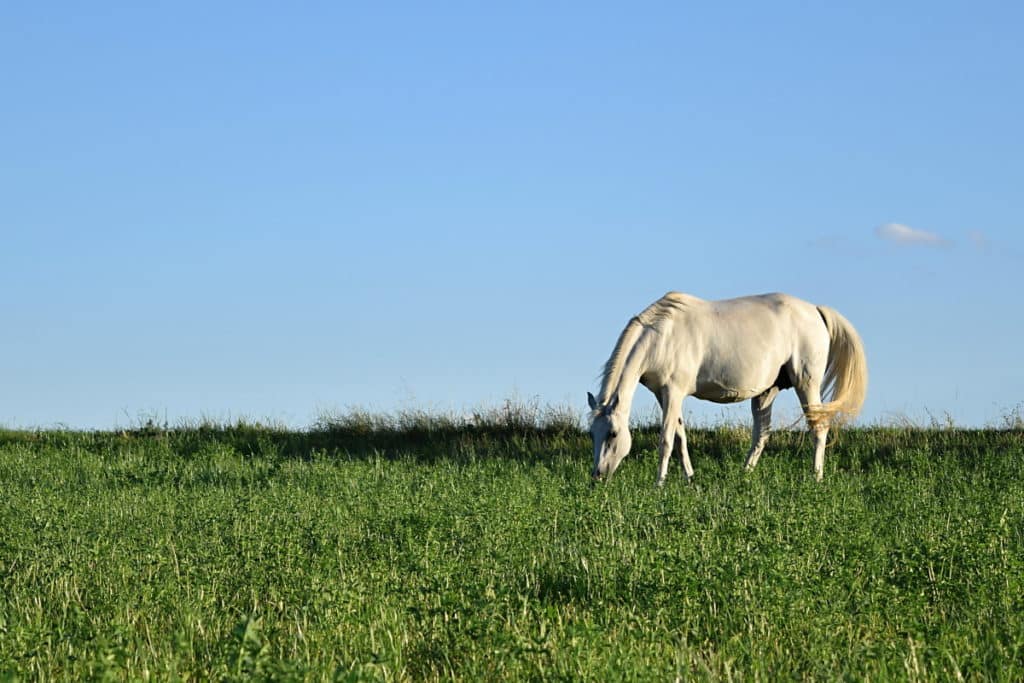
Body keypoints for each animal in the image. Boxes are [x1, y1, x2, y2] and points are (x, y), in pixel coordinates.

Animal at [589, 290, 868, 483]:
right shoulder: (664, 395)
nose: (597, 475)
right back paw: (745, 475)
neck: (663, 335)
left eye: (613, 434)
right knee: (762, 434)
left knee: (818, 428)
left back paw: (815, 477)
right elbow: (680, 438)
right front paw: (689, 479)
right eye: (592, 434)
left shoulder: (673, 393)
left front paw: (659, 483)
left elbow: (666, 440)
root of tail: (816, 310)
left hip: (806, 383)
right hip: (766, 393)